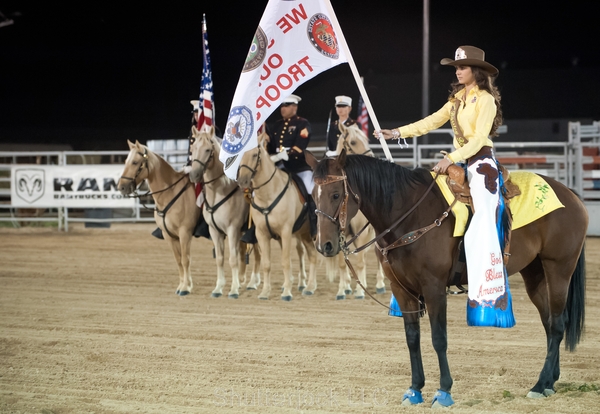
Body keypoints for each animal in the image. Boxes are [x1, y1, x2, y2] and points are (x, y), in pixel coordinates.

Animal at [117, 140, 200, 296]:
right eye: (125, 161)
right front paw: (183, 285)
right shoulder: (169, 235)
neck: (170, 192)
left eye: (135, 162)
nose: (121, 187)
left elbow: (186, 260)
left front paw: (186, 288)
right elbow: (179, 260)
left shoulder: (185, 233)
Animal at [188, 126, 261, 298]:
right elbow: (220, 258)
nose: (194, 175)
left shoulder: (232, 230)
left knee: (257, 255)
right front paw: (218, 288)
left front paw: (233, 290)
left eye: (208, 150)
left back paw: (253, 283)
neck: (219, 192)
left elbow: (233, 259)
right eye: (193, 149)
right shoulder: (214, 231)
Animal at [236, 131, 318, 301]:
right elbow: (266, 264)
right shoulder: (261, 234)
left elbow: (285, 261)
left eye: (255, 155)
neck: (268, 195)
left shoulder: (285, 232)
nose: (242, 181)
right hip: (305, 234)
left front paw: (286, 292)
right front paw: (265, 292)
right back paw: (310, 287)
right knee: (313, 256)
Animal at [306, 149, 587, 406]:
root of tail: (570, 194)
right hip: (535, 273)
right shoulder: (401, 289)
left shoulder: (434, 288)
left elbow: (438, 338)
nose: (324, 245)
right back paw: (549, 381)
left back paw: (539, 385)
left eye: (335, 194)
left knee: (558, 323)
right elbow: (412, 338)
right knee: (549, 323)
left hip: (559, 268)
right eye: (312, 195)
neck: (408, 215)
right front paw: (415, 389)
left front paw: (443, 391)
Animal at [324, 123, 386, 299]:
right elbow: (341, 263)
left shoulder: (362, 232)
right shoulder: (339, 234)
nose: (372, 157)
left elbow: (360, 262)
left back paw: (379, 284)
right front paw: (342, 289)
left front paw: (359, 291)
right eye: (352, 142)